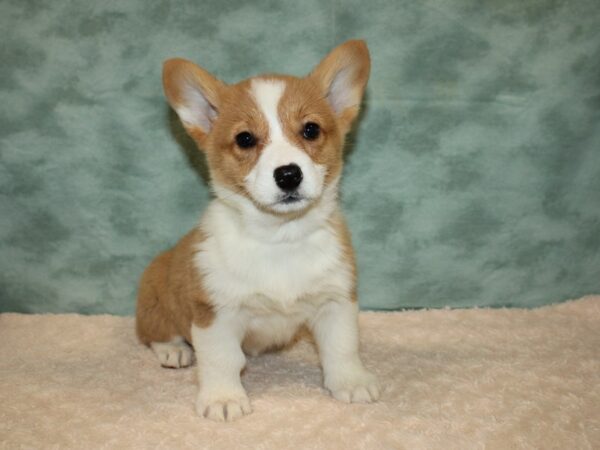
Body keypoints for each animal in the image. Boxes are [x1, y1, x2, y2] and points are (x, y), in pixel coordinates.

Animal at [137, 40, 380, 420]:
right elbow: (220, 360)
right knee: (156, 333)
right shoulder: (215, 314)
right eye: (245, 139)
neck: (280, 238)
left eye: (310, 130)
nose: (289, 174)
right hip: (155, 299)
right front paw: (223, 399)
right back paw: (173, 351)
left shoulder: (336, 301)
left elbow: (343, 347)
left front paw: (351, 382)